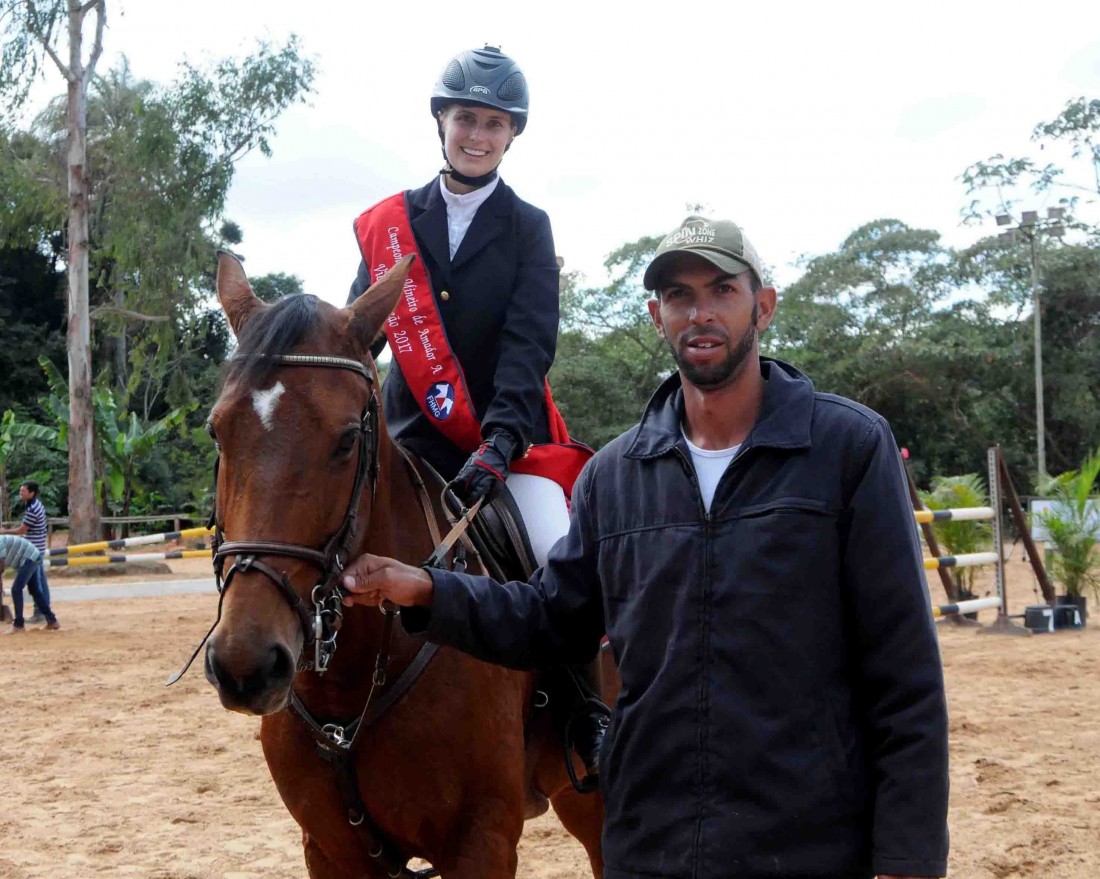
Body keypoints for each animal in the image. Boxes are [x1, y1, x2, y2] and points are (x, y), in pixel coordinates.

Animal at [197, 252, 607, 878]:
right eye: (218, 432)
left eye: (347, 441)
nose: (247, 664)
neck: (348, 687)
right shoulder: (330, 851)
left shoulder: (481, 843)